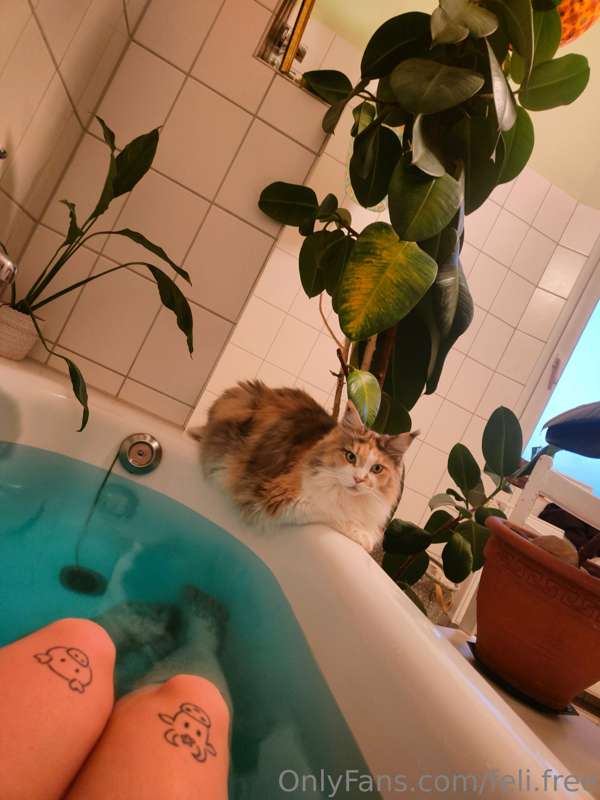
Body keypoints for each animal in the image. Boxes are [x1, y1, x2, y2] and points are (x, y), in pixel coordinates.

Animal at [190, 381, 418, 552]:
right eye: (350, 456)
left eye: (377, 469)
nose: (359, 479)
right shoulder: (278, 498)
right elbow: (332, 511)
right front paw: (365, 536)